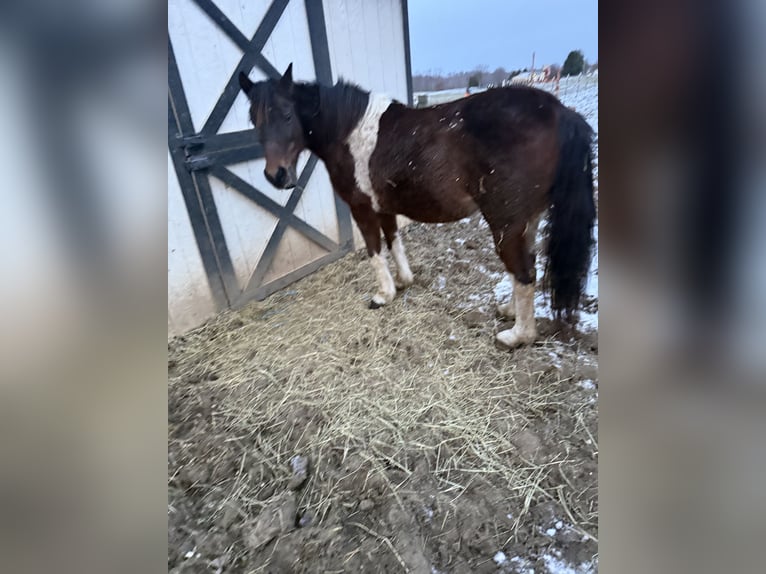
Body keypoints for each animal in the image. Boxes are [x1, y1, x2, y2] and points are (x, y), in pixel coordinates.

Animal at [238, 64, 595, 348]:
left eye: (287, 114)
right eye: (254, 120)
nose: (276, 176)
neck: (350, 131)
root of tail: (560, 111)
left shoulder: (362, 208)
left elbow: (374, 250)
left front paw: (383, 295)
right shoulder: (384, 206)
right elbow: (394, 241)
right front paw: (404, 281)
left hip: (505, 221)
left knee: (523, 271)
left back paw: (518, 336)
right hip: (526, 220)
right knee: (525, 267)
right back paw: (509, 311)